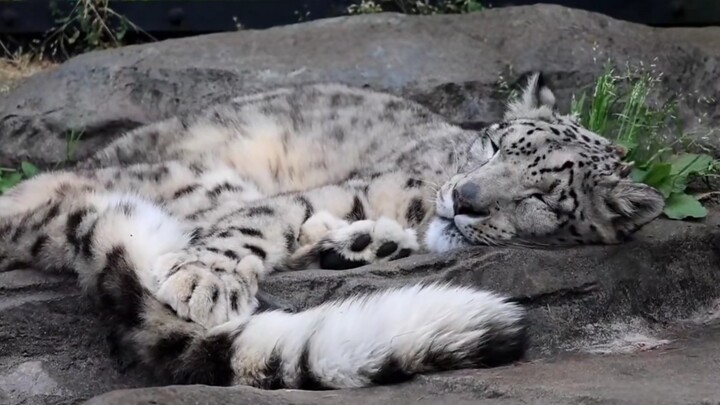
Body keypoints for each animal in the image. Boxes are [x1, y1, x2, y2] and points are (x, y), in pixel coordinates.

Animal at [0, 73, 664, 390]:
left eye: (539, 195)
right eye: (496, 143)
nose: (464, 200)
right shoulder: (347, 188)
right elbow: (266, 218)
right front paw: (205, 280)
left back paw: (364, 243)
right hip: (191, 175)